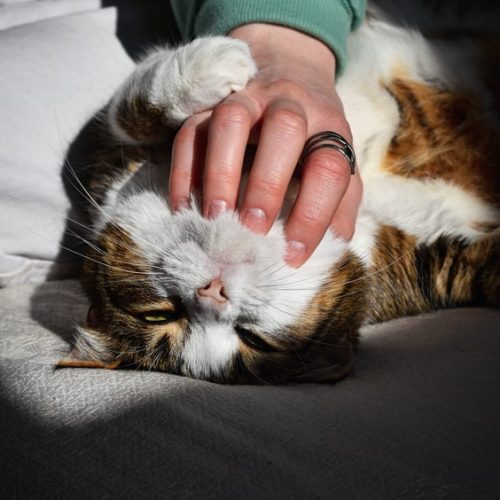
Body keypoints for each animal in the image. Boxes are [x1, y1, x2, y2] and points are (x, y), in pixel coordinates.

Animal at [59, 11, 500, 384]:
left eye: (252, 339)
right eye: (160, 315)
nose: (213, 294)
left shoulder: (108, 149)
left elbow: (128, 108)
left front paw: (210, 64)